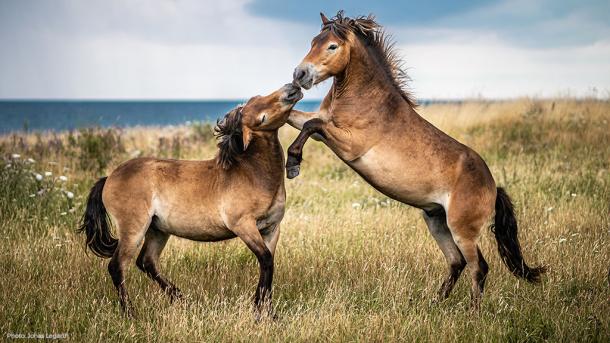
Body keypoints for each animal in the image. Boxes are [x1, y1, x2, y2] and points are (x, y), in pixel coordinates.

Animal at [78, 84, 302, 320]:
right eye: (257, 105)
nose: (292, 87)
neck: (253, 173)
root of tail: (108, 178)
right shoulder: (244, 226)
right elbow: (266, 261)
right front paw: (259, 312)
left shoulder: (271, 229)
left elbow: (267, 265)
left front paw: (269, 313)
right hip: (134, 229)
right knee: (117, 266)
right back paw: (131, 313)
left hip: (157, 230)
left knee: (146, 262)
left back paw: (181, 299)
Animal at [288, 12, 544, 310]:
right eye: (313, 41)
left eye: (332, 46)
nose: (299, 74)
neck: (364, 99)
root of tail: (493, 187)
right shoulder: (324, 128)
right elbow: (297, 119)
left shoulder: (349, 143)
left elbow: (311, 125)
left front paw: (293, 162)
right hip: (436, 221)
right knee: (456, 262)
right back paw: (435, 303)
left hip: (462, 230)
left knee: (478, 267)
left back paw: (473, 312)